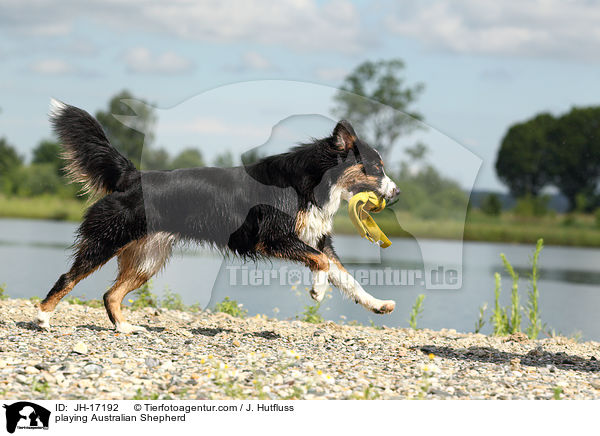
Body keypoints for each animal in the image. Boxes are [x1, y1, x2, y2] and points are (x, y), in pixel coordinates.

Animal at [36, 100, 398, 332]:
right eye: (376, 167)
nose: (397, 194)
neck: (313, 182)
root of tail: (132, 176)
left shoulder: (317, 240)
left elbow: (347, 278)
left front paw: (378, 304)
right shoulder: (275, 237)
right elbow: (321, 265)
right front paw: (318, 291)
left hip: (149, 256)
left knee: (110, 294)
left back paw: (125, 328)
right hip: (110, 239)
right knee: (68, 278)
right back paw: (42, 318)